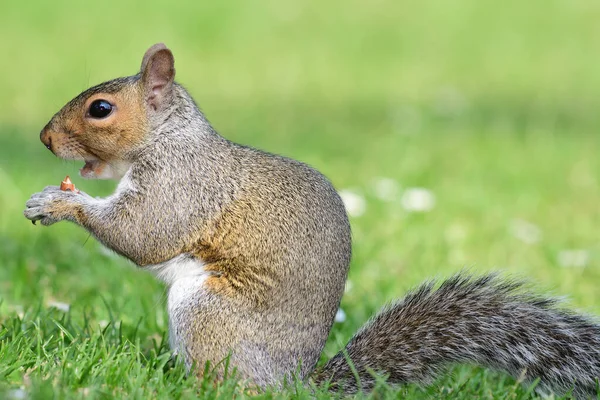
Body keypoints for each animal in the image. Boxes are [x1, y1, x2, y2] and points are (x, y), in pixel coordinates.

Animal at [23, 43, 600, 396]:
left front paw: (58, 204)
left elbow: (143, 234)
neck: (170, 139)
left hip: (206, 313)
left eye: (101, 109)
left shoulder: (183, 186)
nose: (44, 139)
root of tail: (292, 384)